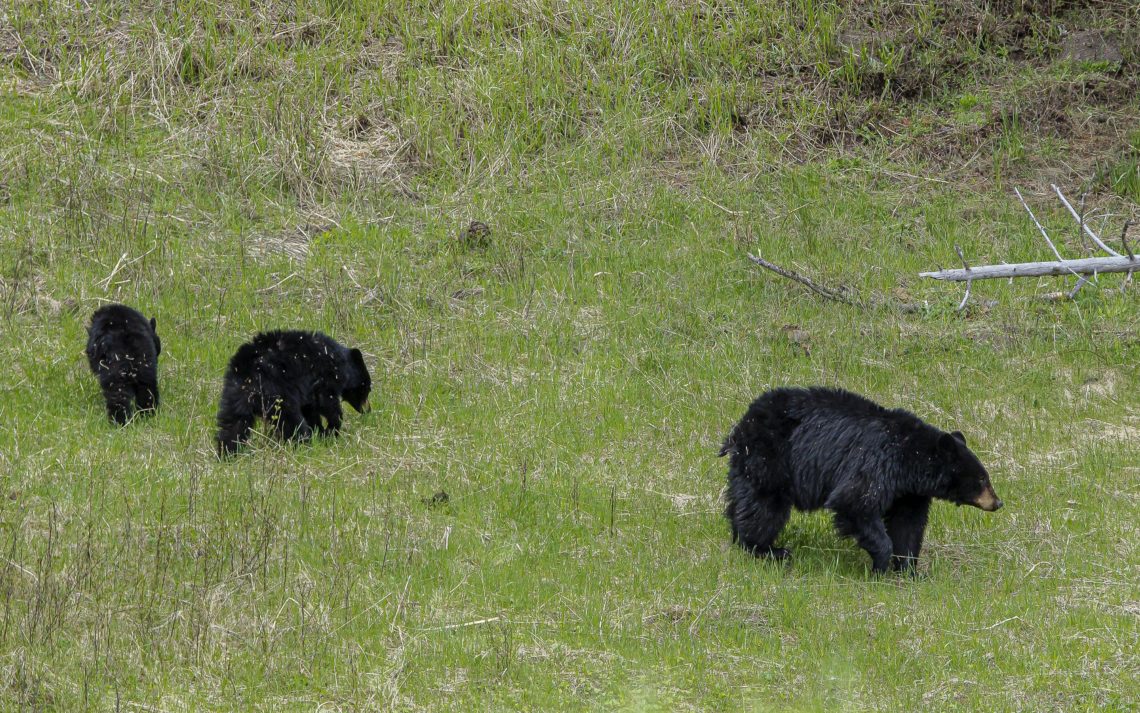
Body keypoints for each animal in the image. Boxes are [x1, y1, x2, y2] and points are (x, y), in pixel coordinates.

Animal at [215, 328, 371, 456]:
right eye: (367, 388)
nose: (368, 410)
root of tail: (249, 375)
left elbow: (311, 410)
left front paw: (321, 432)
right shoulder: (325, 376)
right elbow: (326, 402)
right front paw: (332, 430)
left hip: (234, 394)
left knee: (233, 423)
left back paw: (227, 453)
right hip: (278, 395)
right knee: (291, 422)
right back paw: (302, 445)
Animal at [715, 385, 1003, 570]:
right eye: (981, 479)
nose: (998, 503)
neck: (909, 457)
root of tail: (742, 425)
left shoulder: (909, 491)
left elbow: (908, 523)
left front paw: (908, 568)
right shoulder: (875, 463)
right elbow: (855, 502)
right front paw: (882, 563)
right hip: (771, 458)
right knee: (764, 507)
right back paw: (766, 549)